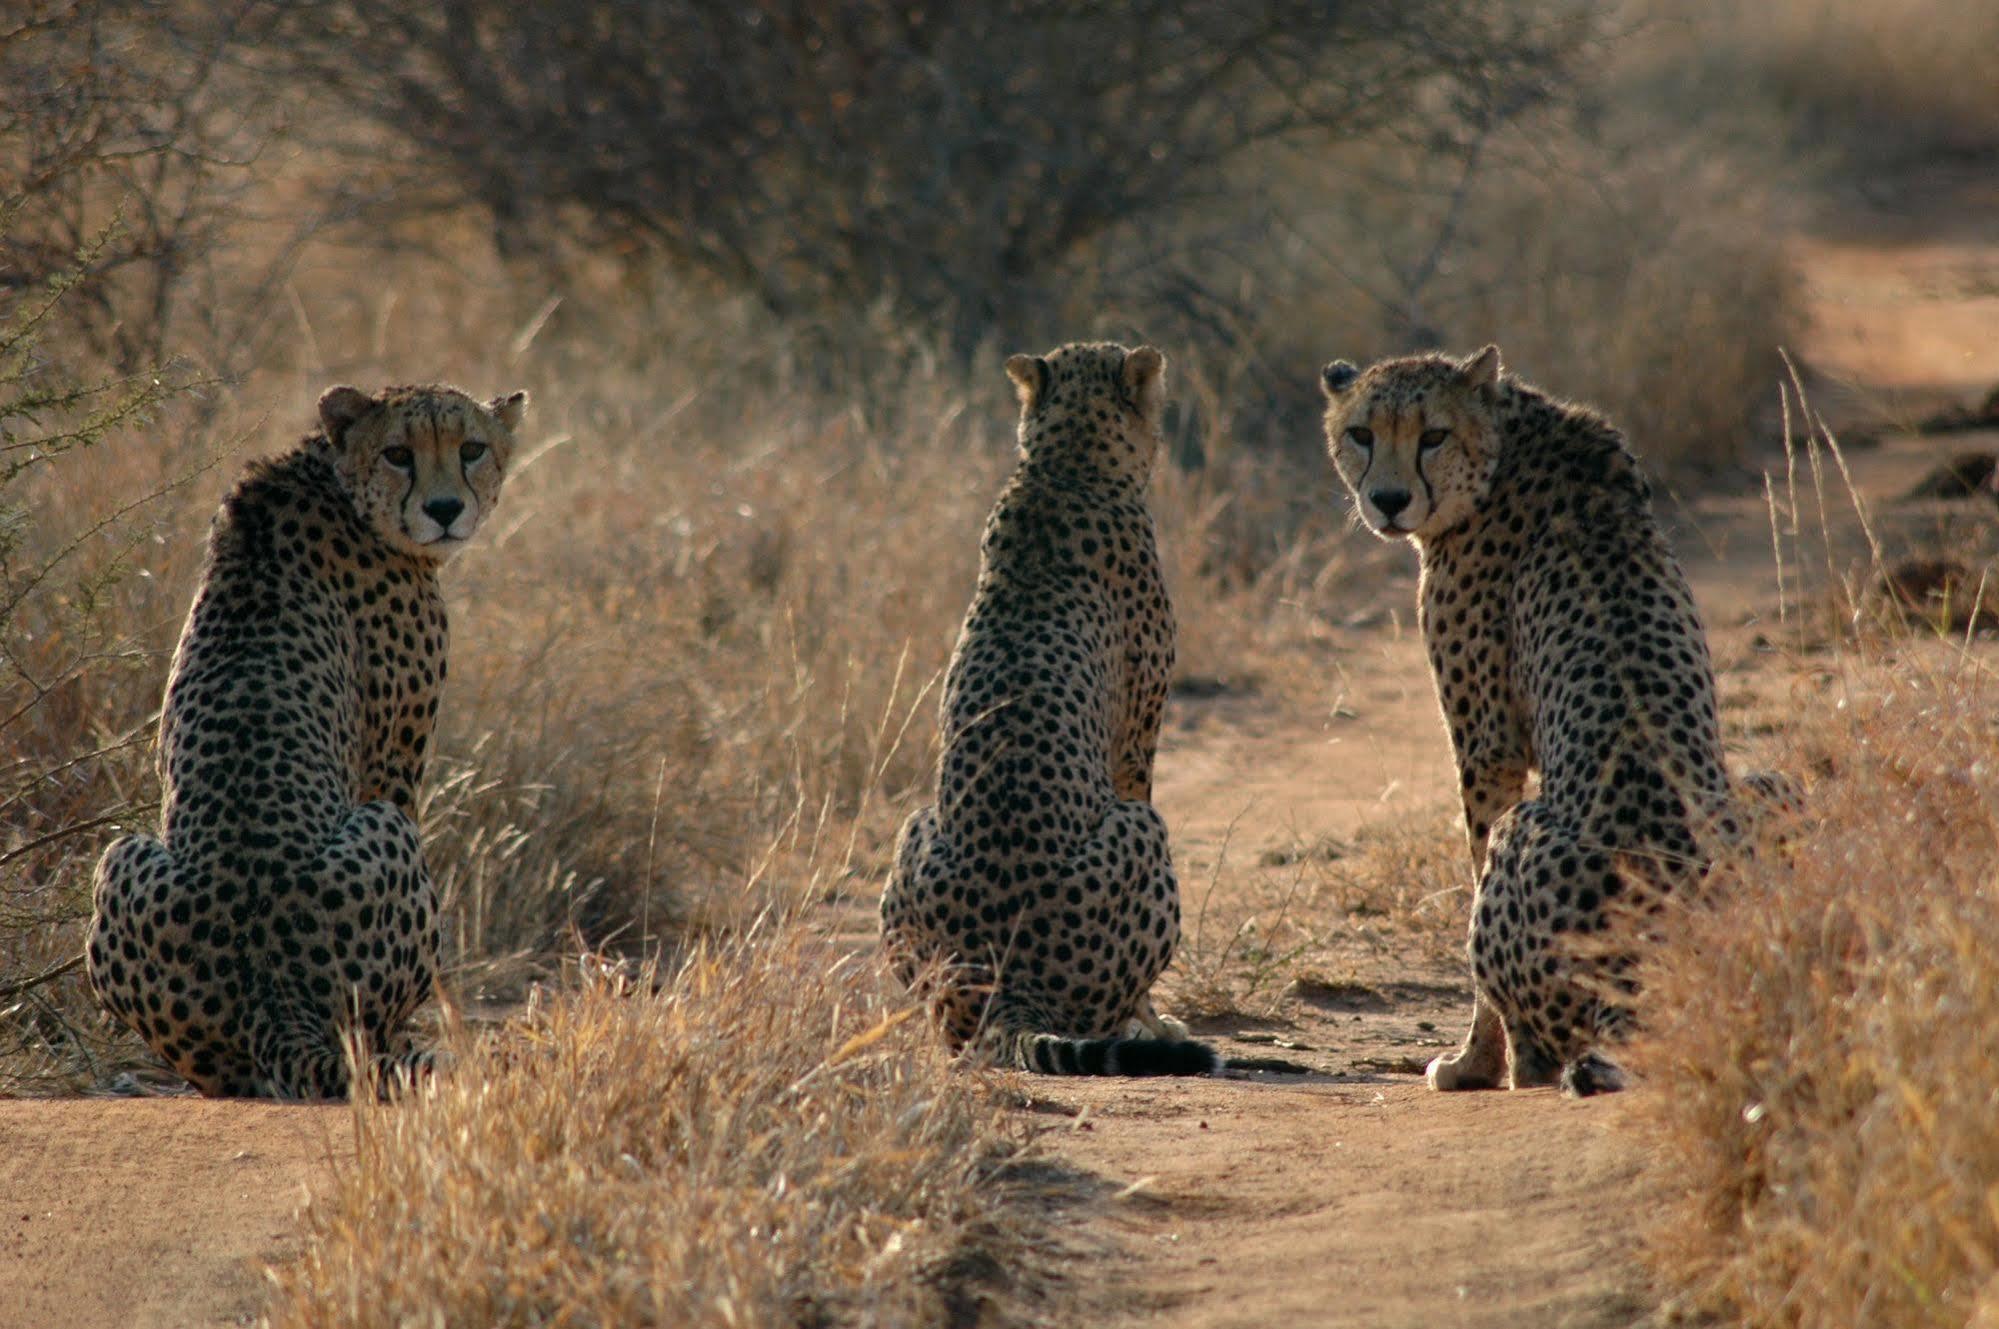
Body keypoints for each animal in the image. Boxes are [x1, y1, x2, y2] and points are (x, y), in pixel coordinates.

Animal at [86, 377, 527, 1095]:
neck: (334, 478)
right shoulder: (392, 768)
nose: (444, 509)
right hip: (384, 830)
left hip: (121, 857)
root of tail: (271, 988)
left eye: (471, 448)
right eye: (399, 453)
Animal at [879, 341, 1215, 1079]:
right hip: (1144, 829)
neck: (1065, 464)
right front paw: (1160, 1020)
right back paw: (1148, 1026)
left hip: (915, 830)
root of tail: (1010, 985)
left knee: (953, 1033)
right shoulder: (1135, 746)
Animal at [1319, 347, 1791, 1095]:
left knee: (1539, 1042)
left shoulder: (1488, 748)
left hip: (1527, 832)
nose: (1388, 501)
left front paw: (1470, 1063)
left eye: (1433, 435)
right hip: (1769, 786)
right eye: (1362, 433)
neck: (1506, 442)